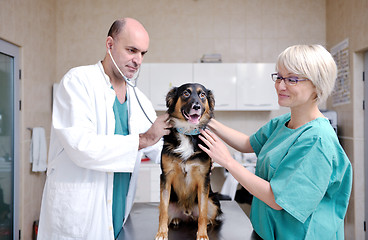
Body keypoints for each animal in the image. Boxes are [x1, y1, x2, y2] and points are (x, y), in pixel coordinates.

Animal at [155, 83, 221, 240]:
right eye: (186, 93)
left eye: (202, 95)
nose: (196, 106)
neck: (187, 132)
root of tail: (187, 213)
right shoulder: (166, 176)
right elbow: (163, 211)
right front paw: (161, 233)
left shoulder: (204, 178)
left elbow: (203, 212)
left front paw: (202, 235)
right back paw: (175, 220)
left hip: (214, 201)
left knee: (205, 216)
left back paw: (207, 222)